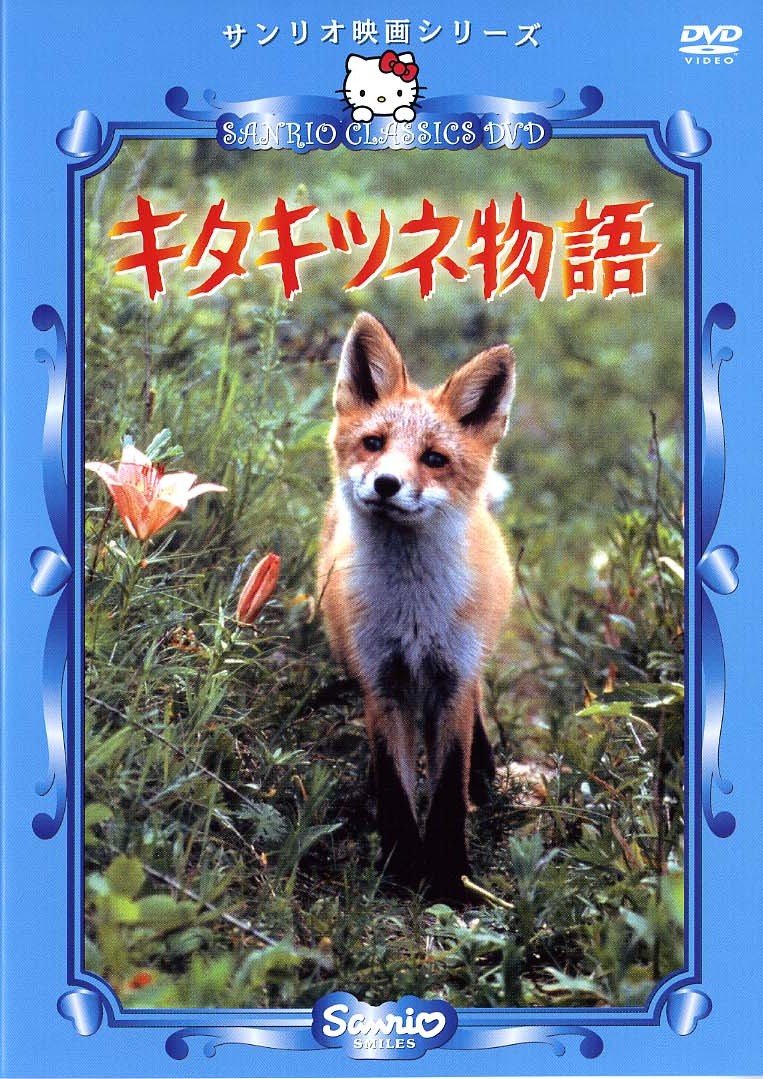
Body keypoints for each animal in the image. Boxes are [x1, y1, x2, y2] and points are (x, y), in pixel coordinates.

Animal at [318, 312, 515, 903]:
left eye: (434, 458)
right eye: (373, 443)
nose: (386, 483)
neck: (413, 615)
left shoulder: (453, 679)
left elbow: (447, 791)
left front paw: (451, 880)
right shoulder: (382, 682)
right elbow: (396, 787)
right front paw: (402, 871)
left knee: (477, 722)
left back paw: (485, 779)